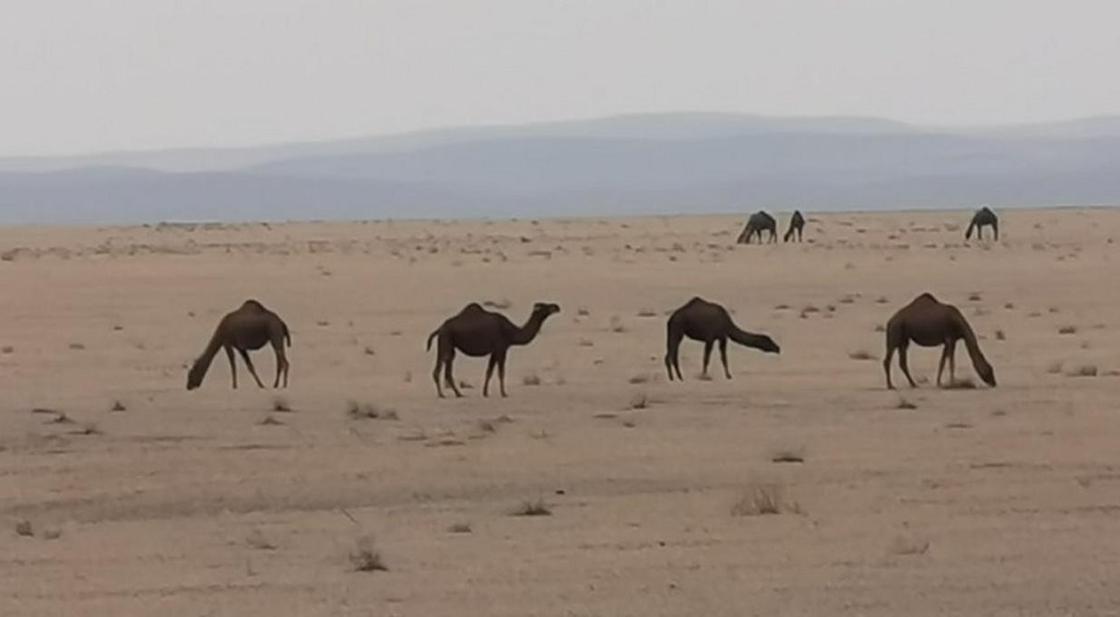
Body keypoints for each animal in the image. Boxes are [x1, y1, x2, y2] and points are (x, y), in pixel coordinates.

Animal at [423, 302, 560, 398]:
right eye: (545, 307)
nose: (556, 307)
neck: (512, 332)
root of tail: (440, 328)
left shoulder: (494, 351)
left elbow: (489, 371)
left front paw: (485, 393)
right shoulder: (501, 348)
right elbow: (501, 372)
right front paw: (504, 393)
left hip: (449, 345)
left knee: (445, 369)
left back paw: (454, 394)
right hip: (446, 340)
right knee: (442, 370)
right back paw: (447, 394)